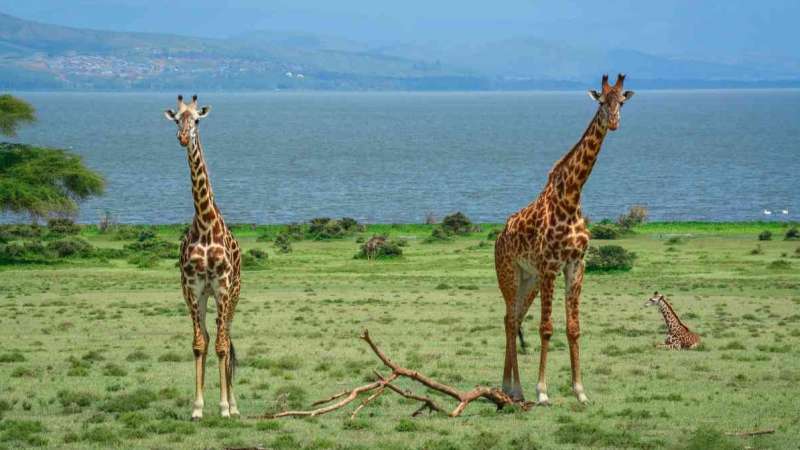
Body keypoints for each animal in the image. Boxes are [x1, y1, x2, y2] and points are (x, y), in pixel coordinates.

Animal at [494, 74, 634, 404]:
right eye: (601, 101)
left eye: (621, 101)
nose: (614, 122)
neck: (571, 198)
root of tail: (499, 235)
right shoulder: (549, 266)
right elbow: (546, 328)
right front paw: (542, 392)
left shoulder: (576, 264)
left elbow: (574, 328)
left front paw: (580, 391)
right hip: (509, 272)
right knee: (510, 319)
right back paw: (514, 388)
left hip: (528, 279)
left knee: (513, 319)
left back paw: (512, 388)